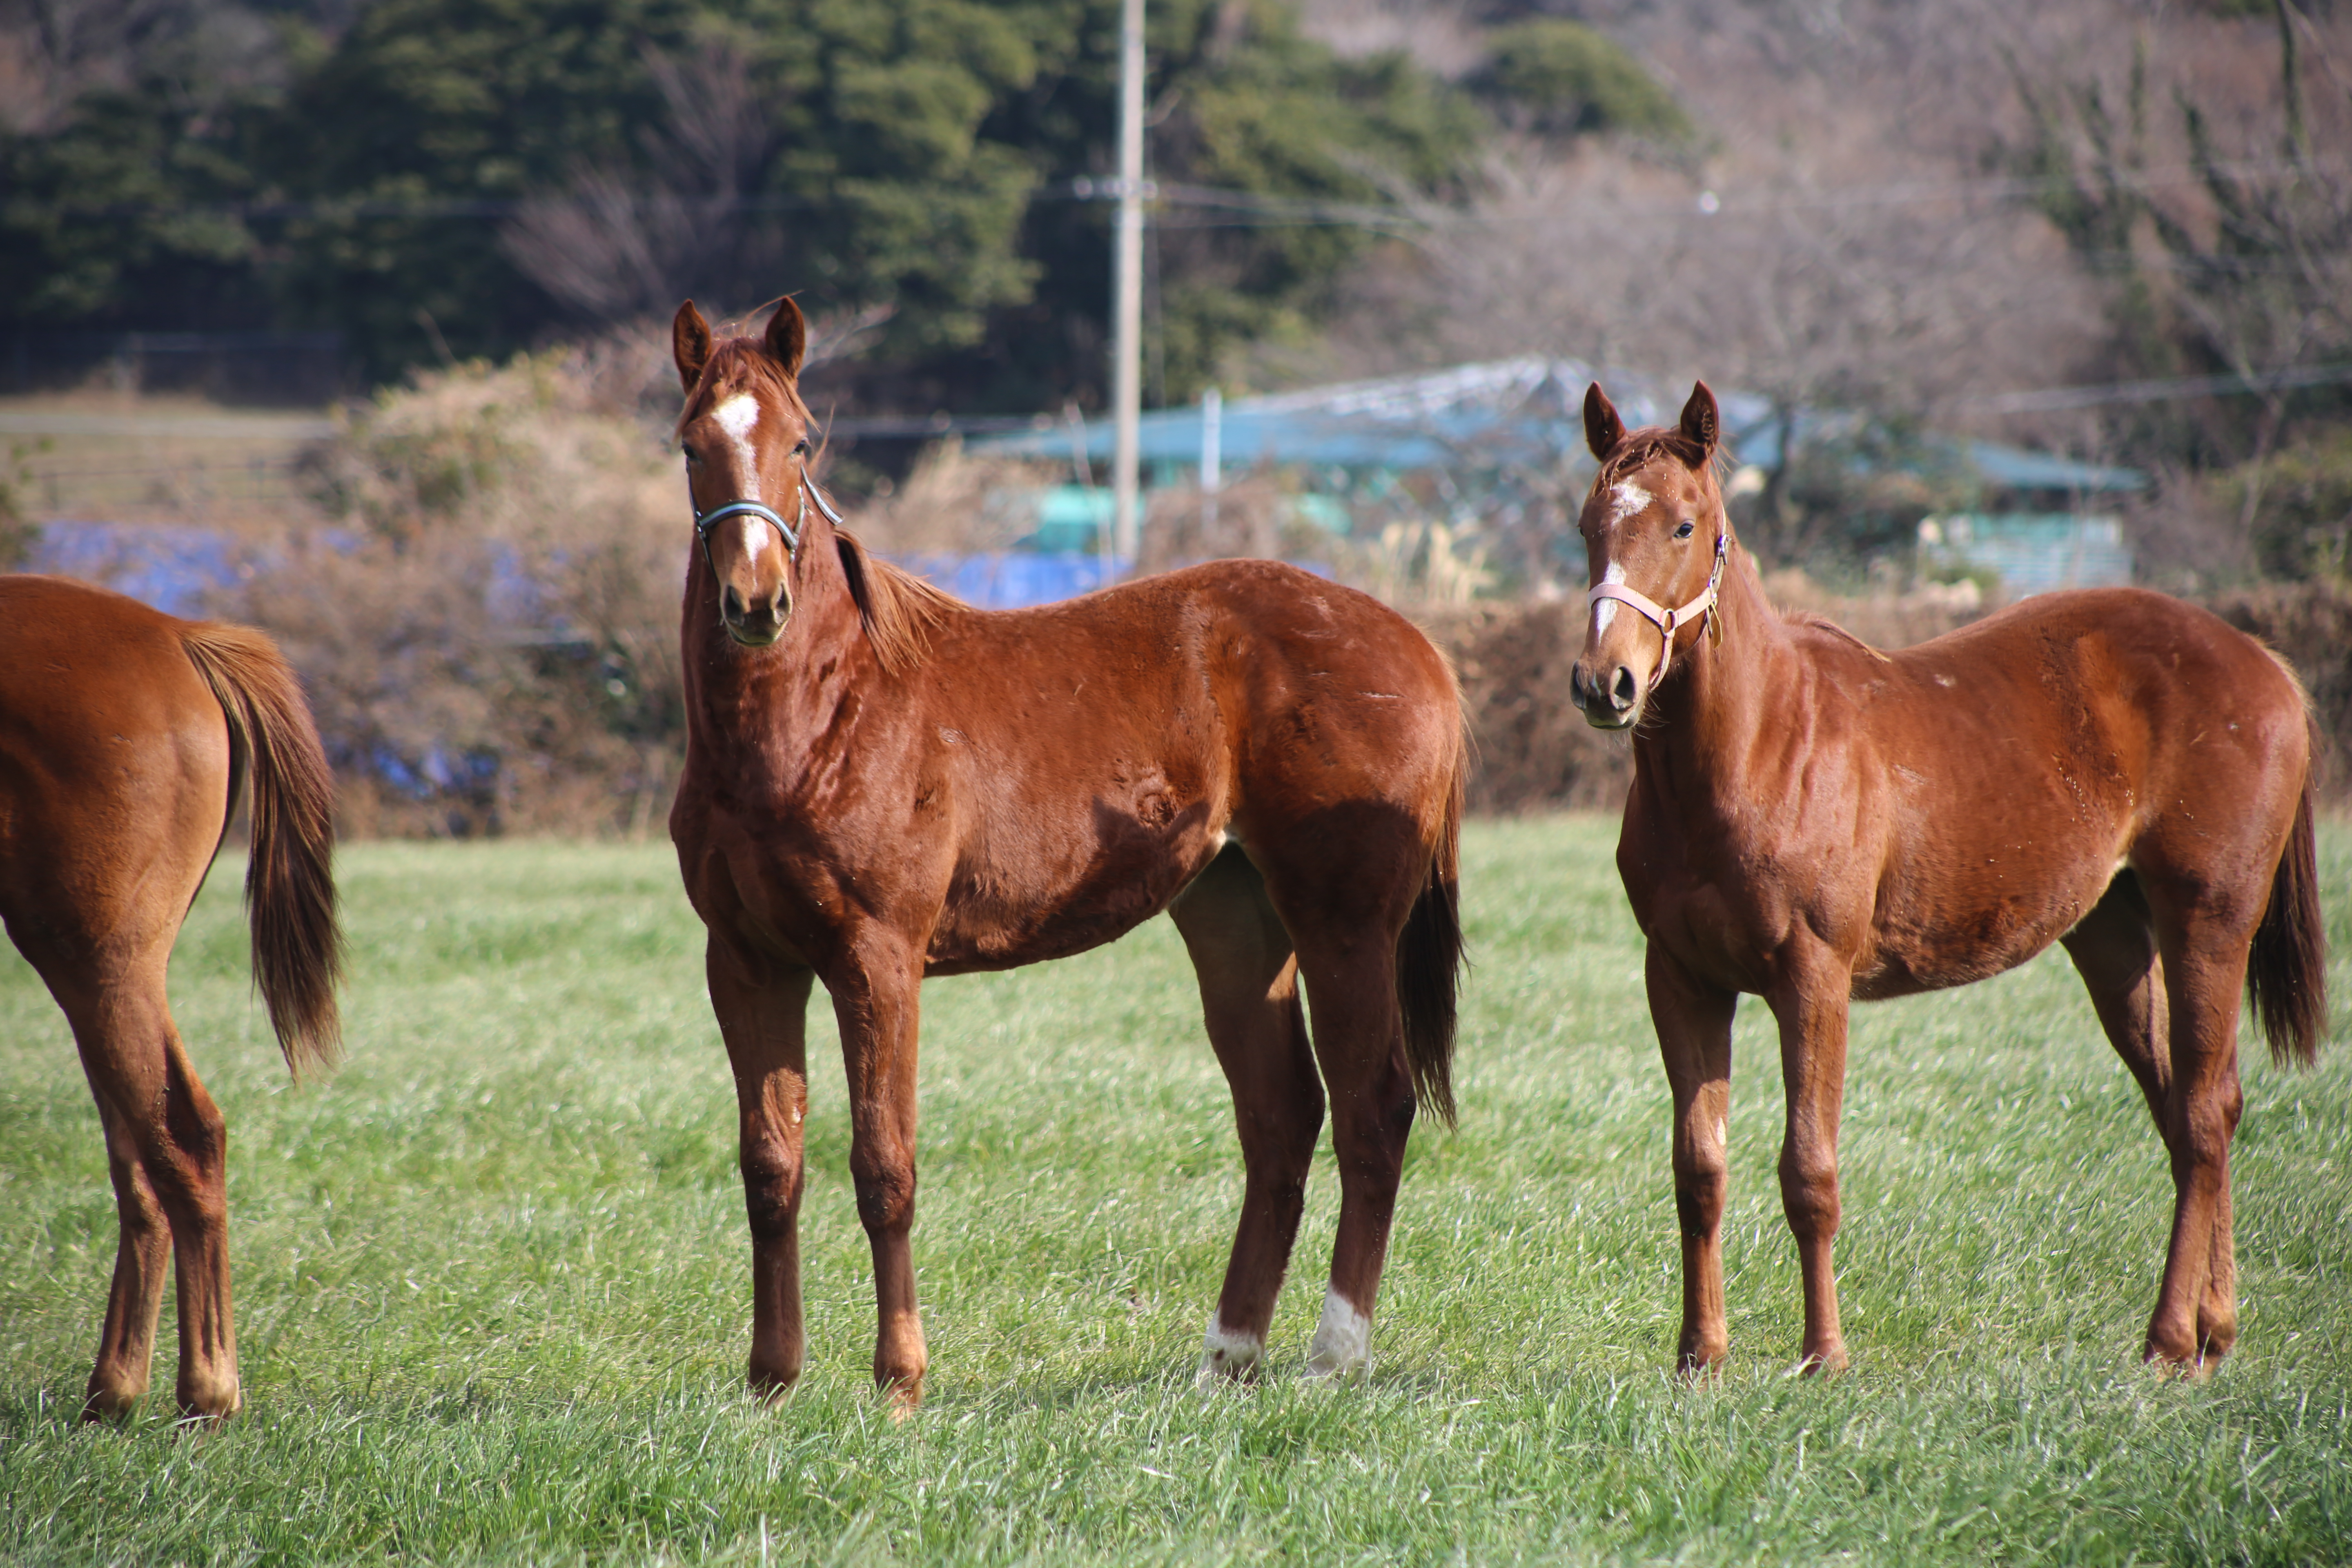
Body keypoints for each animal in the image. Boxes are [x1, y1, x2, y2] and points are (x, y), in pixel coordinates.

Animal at [1, 576, 341, 1420]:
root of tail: (178, 634)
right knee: (142, 1164)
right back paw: (116, 1392)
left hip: (93, 959)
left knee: (181, 1141)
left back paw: (206, 1392)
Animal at [673, 297, 1458, 1410]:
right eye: (693, 445)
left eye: (800, 442)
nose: (754, 602)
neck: (822, 717)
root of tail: (1419, 649)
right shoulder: (746, 962)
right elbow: (770, 1166)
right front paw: (771, 1382)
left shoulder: (878, 960)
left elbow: (884, 1165)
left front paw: (898, 1383)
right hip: (1235, 922)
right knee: (1281, 1116)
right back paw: (1229, 1355)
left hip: (1345, 924)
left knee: (1371, 1107)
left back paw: (1332, 1354)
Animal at [1571, 376, 2323, 1373]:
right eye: (1588, 525)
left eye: (1686, 526)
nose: (1604, 684)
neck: (1759, 746)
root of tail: (2264, 663)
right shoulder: (1683, 980)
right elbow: (1700, 1170)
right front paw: (1701, 1358)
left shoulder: (1813, 980)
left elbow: (1809, 1171)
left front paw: (1824, 1356)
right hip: (2115, 940)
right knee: (2195, 1110)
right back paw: (2215, 1331)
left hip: (2209, 921)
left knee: (2203, 1114)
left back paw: (2169, 1340)